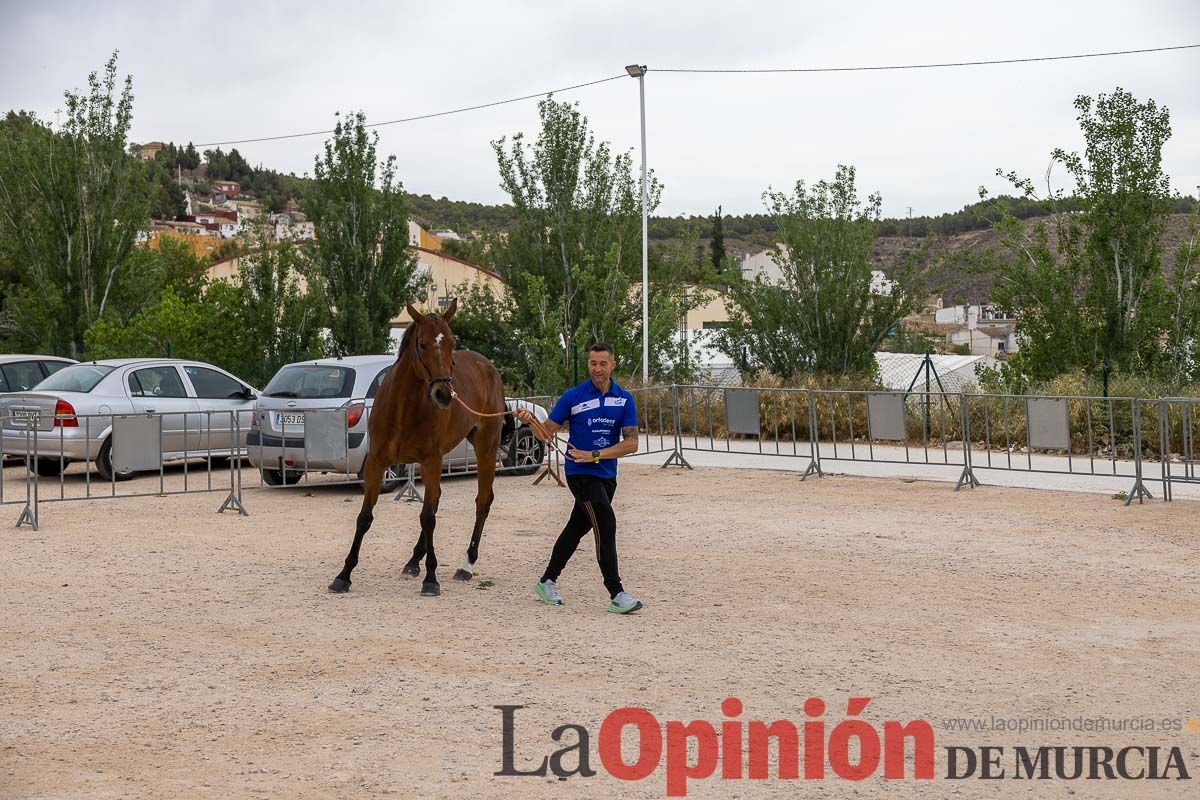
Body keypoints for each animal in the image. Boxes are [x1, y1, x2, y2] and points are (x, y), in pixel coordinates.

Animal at [328, 298, 511, 594]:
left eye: (451, 342)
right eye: (422, 344)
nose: (444, 394)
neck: (403, 408)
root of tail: (489, 367)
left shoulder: (431, 461)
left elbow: (428, 517)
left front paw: (431, 578)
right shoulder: (377, 463)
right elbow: (365, 517)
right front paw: (344, 574)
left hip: (485, 447)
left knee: (482, 501)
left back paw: (466, 564)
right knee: (436, 502)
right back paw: (414, 560)